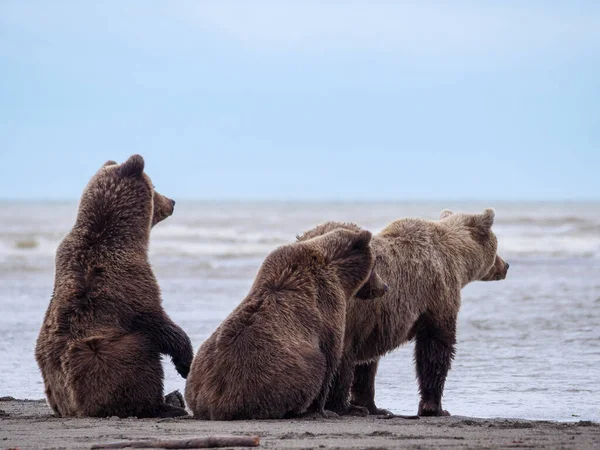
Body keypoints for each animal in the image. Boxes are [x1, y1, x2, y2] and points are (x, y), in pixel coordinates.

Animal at [34, 155, 192, 418]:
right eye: (154, 187)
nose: (172, 201)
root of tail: (76, 408)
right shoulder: (129, 280)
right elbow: (156, 320)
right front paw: (186, 363)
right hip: (109, 353)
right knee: (141, 362)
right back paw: (166, 405)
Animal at [185, 229, 386, 422]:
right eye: (374, 265)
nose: (384, 287)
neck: (339, 273)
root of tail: (216, 404)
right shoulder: (328, 306)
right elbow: (330, 357)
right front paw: (325, 410)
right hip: (277, 375)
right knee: (311, 371)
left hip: (200, 372)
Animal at [298, 209, 508, 416]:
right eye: (496, 246)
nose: (505, 265)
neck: (455, 258)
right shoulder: (436, 294)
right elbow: (435, 345)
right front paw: (435, 407)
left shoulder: (374, 320)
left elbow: (367, 363)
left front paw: (374, 406)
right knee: (340, 355)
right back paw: (343, 407)